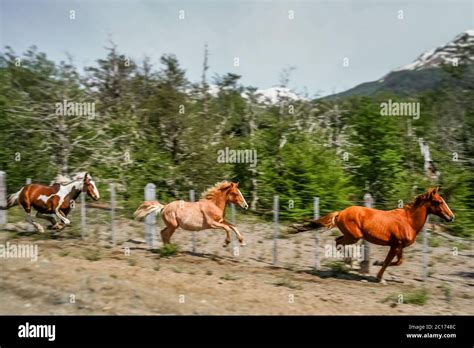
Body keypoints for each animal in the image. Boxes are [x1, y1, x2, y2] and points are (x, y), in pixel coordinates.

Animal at [290, 186, 454, 282]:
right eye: (439, 202)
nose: (451, 217)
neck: (408, 221)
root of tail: (340, 213)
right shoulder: (395, 245)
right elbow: (388, 261)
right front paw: (379, 277)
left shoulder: (399, 247)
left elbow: (399, 262)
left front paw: (376, 264)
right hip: (354, 236)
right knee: (338, 242)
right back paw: (350, 264)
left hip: (352, 237)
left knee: (338, 241)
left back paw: (350, 264)